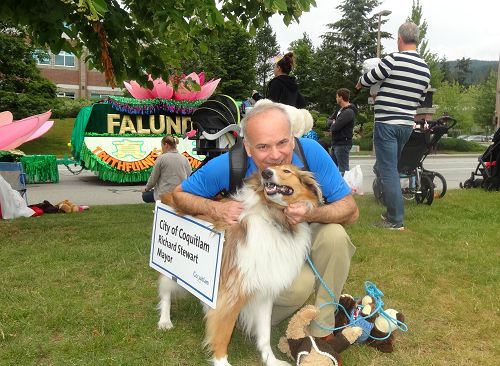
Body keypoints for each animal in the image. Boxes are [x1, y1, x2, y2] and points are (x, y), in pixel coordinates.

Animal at [158, 164, 322, 364]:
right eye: (269, 169)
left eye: (286, 171)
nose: (266, 173)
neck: (275, 218)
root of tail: (169, 194)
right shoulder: (233, 292)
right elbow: (223, 333)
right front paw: (221, 361)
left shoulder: (264, 291)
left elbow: (265, 334)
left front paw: (271, 360)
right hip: (171, 264)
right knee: (165, 291)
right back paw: (164, 321)